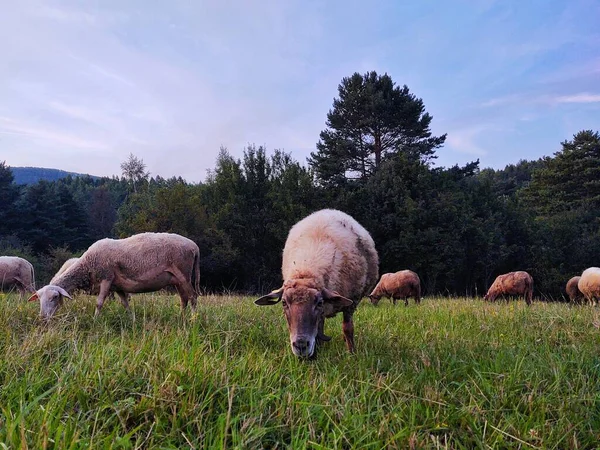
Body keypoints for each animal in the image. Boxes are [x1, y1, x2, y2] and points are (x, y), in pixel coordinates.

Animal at [28, 232, 200, 320]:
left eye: (55, 297)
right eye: (39, 298)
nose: (42, 317)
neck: (87, 264)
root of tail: (194, 246)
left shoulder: (106, 278)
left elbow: (99, 303)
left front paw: (95, 320)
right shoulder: (118, 286)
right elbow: (125, 304)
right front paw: (132, 319)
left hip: (184, 273)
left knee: (193, 297)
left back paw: (193, 319)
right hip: (176, 279)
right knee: (184, 299)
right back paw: (181, 317)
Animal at [254, 208, 380, 358]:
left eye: (319, 302)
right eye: (284, 303)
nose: (301, 345)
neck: (307, 272)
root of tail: (329, 210)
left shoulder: (352, 301)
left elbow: (348, 328)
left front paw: (352, 354)